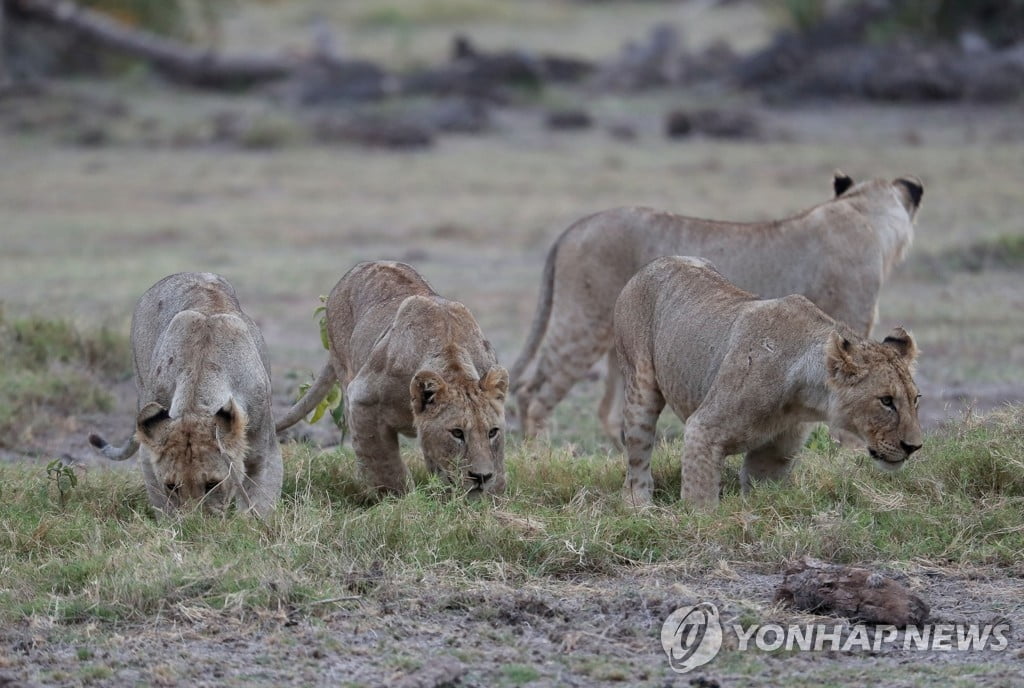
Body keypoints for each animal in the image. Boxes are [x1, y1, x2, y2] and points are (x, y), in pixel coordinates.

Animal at [89, 272, 282, 513]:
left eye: (212, 484)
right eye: (172, 486)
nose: (195, 521)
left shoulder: (265, 453)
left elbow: (259, 505)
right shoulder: (149, 459)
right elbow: (164, 506)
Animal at [274, 261, 509, 497]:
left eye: (492, 432)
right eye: (457, 433)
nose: (481, 477)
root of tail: (365, 264)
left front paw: (492, 497)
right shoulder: (364, 399)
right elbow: (385, 463)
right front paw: (399, 498)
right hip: (343, 367)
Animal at [512, 172, 921, 440]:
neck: (861, 211)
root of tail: (574, 227)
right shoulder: (849, 326)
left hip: (624, 343)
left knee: (610, 413)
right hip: (583, 322)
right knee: (533, 395)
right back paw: (541, 456)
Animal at [610, 254, 925, 507]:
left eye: (915, 399)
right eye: (886, 401)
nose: (914, 447)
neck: (803, 398)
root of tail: (655, 262)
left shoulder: (772, 456)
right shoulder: (702, 430)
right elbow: (701, 502)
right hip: (640, 389)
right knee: (637, 459)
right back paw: (640, 507)